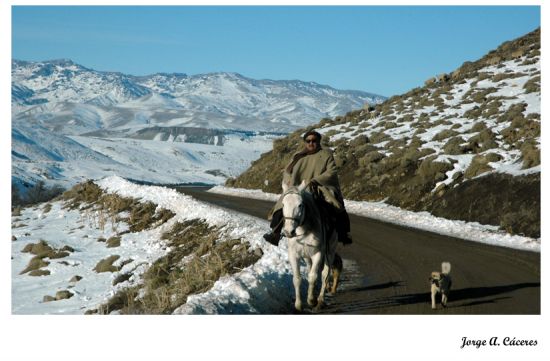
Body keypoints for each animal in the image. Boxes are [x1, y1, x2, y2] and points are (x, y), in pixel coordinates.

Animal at [284, 180, 340, 310]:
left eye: (300, 205)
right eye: (283, 204)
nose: (289, 232)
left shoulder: (318, 254)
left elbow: (313, 277)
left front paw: (310, 300)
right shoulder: (294, 255)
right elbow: (297, 279)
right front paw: (298, 304)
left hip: (330, 252)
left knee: (325, 274)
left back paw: (319, 300)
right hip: (307, 256)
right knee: (311, 269)